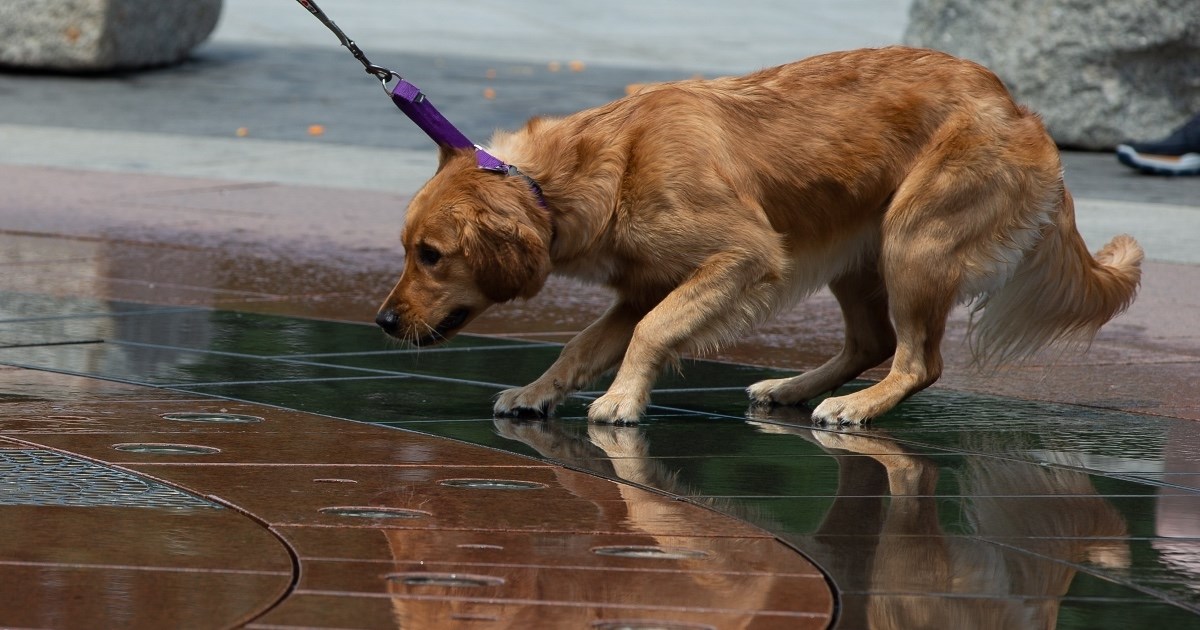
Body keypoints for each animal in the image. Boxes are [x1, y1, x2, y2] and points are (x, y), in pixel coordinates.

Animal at [376, 46, 1142, 424]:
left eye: (431, 256)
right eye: (408, 251)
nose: (382, 322)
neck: (592, 170)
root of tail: (1015, 106)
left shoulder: (741, 256)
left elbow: (653, 331)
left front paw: (622, 401)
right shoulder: (642, 286)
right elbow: (585, 344)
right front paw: (539, 391)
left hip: (913, 239)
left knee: (918, 361)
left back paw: (856, 406)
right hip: (861, 254)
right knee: (875, 342)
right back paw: (794, 389)